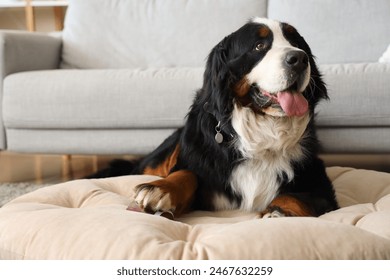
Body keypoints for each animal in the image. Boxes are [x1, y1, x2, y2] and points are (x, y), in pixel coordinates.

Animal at [91, 17, 338, 219]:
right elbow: (187, 173)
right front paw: (161, 190)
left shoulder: (317, 178)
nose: (299, 58)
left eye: (296, 43)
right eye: (259, 46)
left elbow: (299, 195)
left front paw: (280, 212)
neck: (261, 136)